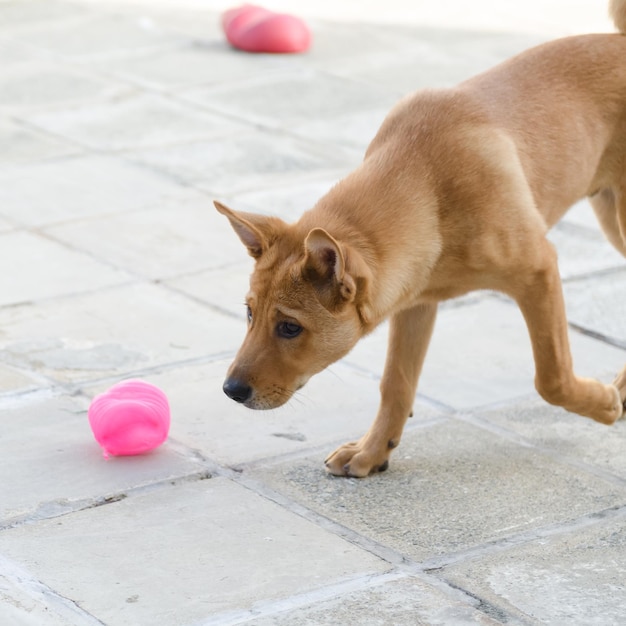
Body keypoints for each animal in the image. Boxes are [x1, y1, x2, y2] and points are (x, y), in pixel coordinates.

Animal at [214, 0, 624, 476]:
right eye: (248, 313)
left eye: (289, 327)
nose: (230, 390)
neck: (424, 181)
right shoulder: (414, 300)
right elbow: (396, 382)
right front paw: (373, 451)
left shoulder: (538, 270)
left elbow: (552, 376)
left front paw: (602, 404)